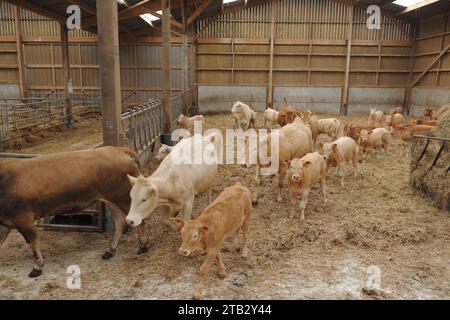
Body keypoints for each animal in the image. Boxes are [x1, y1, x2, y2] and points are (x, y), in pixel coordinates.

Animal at [0, 146, 146, 276]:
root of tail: (119, 149)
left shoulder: (22, 218)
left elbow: (32, 242)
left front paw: (37, 267)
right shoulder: (5, 223)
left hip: (124, 197)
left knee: (137, 220)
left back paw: (143, 246)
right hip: (111, 199)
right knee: (119, 222)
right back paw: (110, 251)